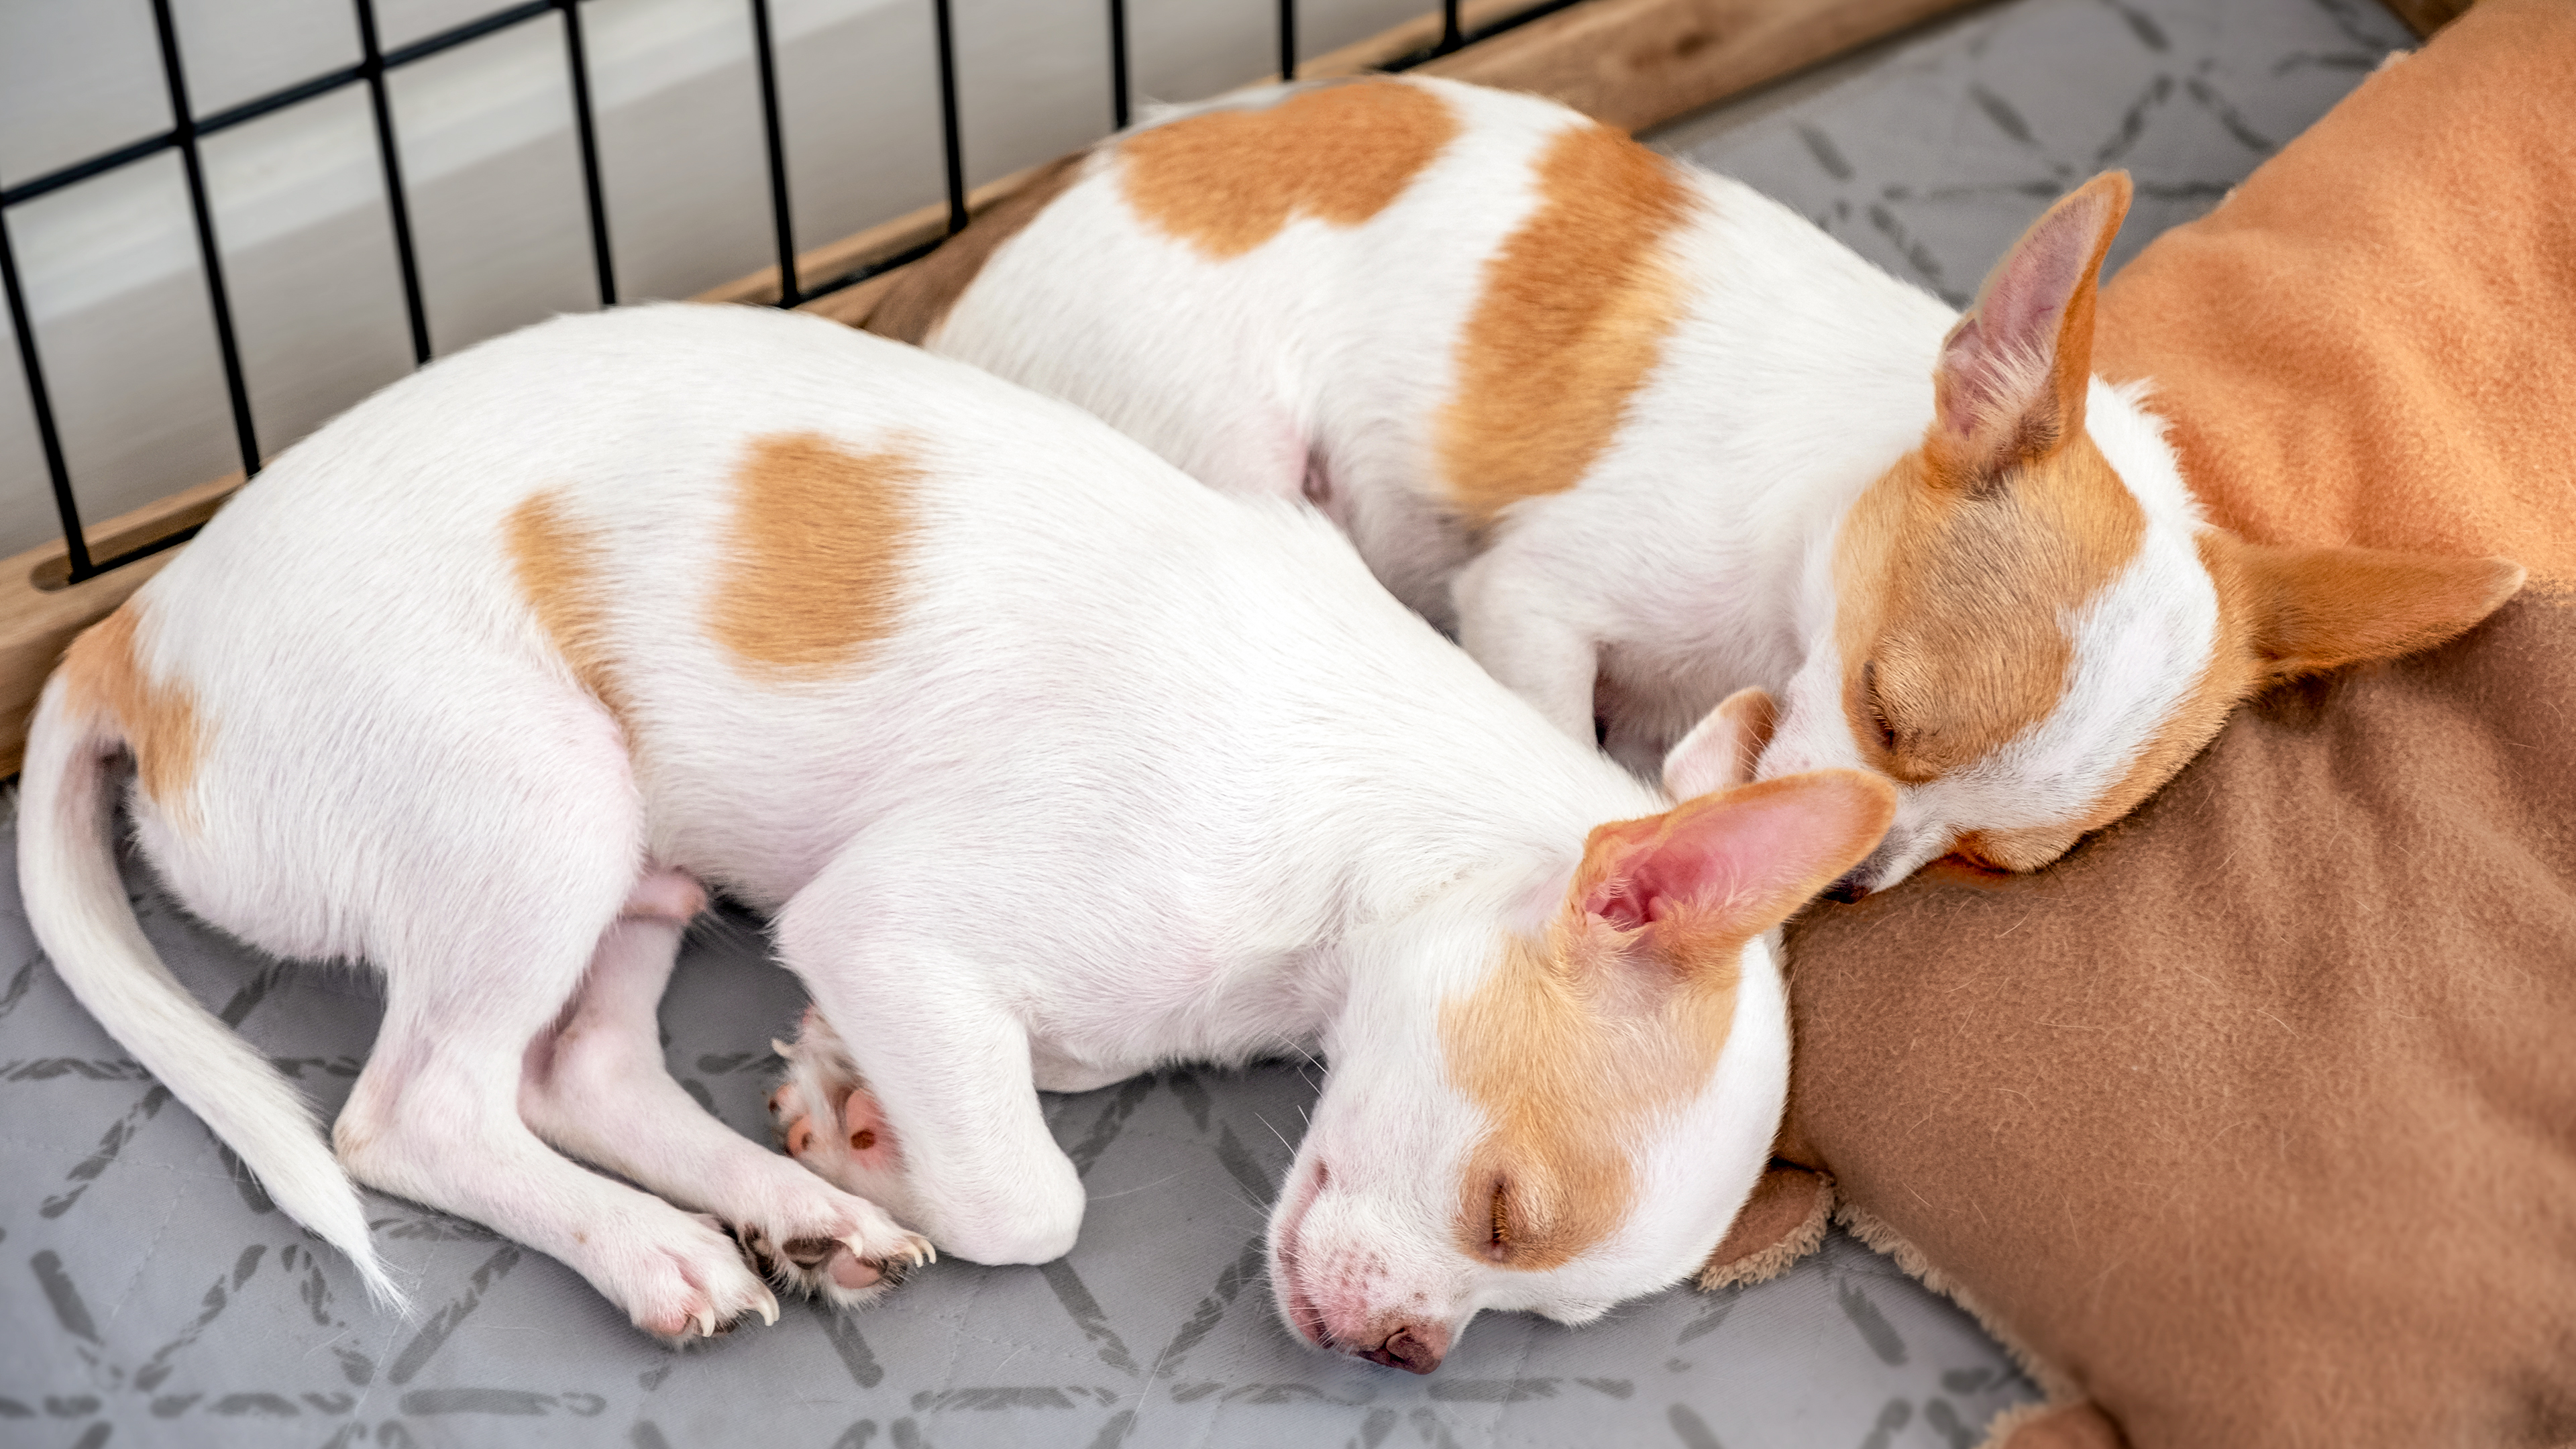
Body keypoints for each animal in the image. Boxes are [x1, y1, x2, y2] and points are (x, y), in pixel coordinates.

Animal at [20, 299, 1896, 1361]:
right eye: (1503, 1213)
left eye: (1528, 1306)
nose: (1403, 1355)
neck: (1358, 830)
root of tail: (137, 631)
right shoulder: (888, 931)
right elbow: (1030, 1196)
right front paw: (888, 1140)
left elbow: (1015, 1094)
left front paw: (849, 1124)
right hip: (544, 800)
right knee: (417, 1113)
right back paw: (655, 1247)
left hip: (639, 861)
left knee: (577, 1071)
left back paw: (791, 1212)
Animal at [875, 78, 2524, 897]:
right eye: (1885, 712)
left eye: (1992, 863)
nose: (1856, 884)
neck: (1784, 589)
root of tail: (955, 284)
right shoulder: (1530, 602)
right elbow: (1553, 724)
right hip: (1231, 455)